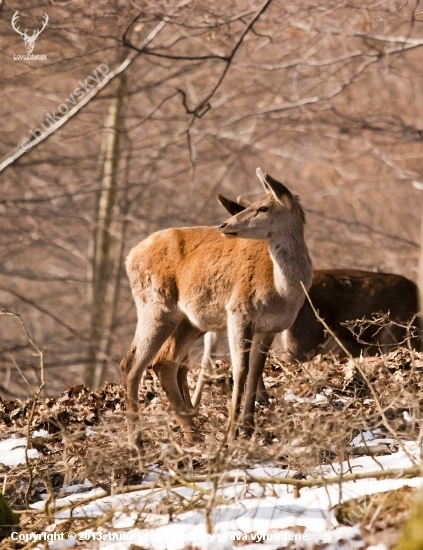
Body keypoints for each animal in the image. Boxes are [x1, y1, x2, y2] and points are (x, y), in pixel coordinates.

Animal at [121, 166, 314, 446]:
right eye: (254, 204)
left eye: (263, 207)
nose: (224, 224)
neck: (282, 291)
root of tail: (129, 256)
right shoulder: (239, 311)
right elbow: (241, 369)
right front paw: (232, 432)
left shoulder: (271, 327)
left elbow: (255, 370)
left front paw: (249, 426)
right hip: (155, 306)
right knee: (133, 364)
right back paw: (137, 441)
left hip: (189, 320)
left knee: (165, 362)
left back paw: (192, 433)